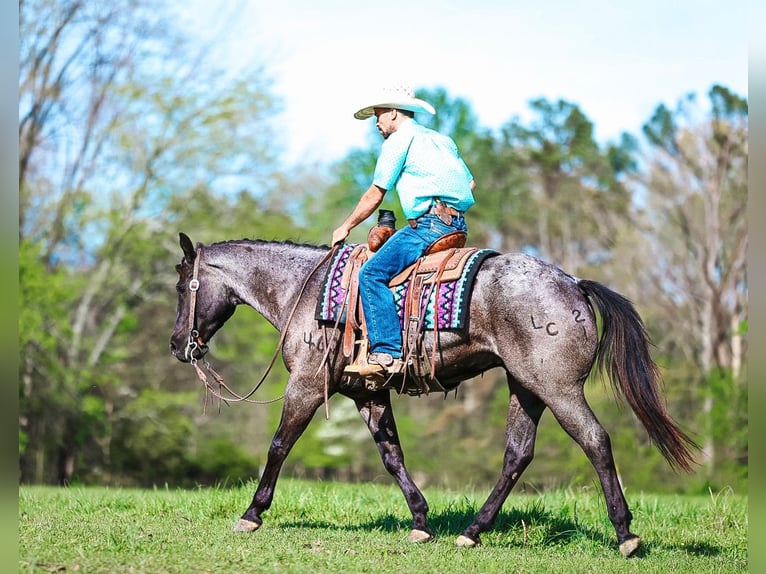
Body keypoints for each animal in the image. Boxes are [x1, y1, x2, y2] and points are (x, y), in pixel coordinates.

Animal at [169, 232, 696, 557]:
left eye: (180, 285)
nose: (177, 345)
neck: (306, 289)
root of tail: (573, 284)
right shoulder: (367, 394)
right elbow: (392, 456)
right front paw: (421, 521)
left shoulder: (305, 385)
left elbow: (279, 445)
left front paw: (252, 514)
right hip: (525, 387)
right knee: (518, 454)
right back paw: (472, 532)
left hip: (558, 389)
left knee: (595, 440)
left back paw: (625, 533)